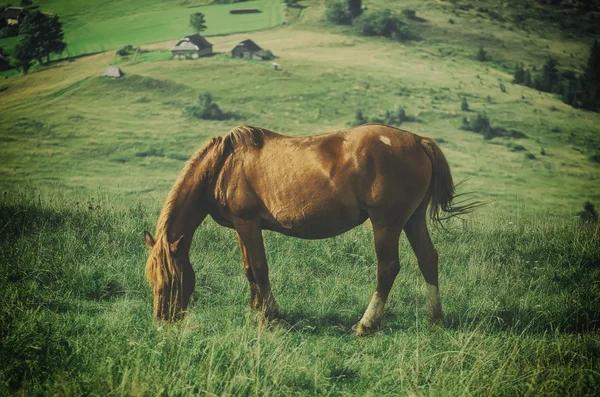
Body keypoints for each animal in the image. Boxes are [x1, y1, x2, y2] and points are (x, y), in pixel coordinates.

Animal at [143, 124, 476, 334]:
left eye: (171, 279)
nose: (162, 321)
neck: (223, 166)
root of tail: (418, 141)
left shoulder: (248, 223)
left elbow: (260, 269)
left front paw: (269, 316)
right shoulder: (241, 226)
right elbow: (249, 269)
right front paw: (255, 310)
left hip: (387, 224)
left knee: (388, 268)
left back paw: (366, 324)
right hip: (412, 220)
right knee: (428, 259)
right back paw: (435, 317)